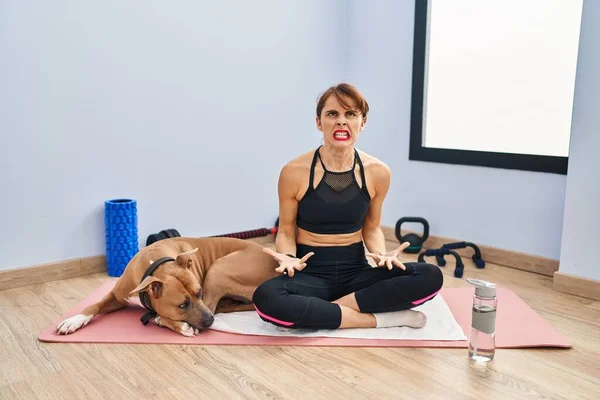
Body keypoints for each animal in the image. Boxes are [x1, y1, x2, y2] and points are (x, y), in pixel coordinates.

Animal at [55, 236, 278, 336]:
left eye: (199, 292)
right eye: (182, 305)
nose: (210, 321)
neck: (155, 265)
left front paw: (174, 324)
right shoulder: (117, 296)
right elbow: (94, 305)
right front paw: (73, 320)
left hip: (218, 268)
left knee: (212, 305)